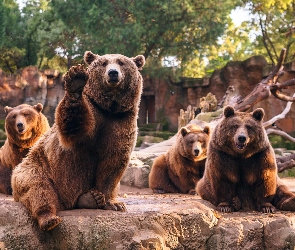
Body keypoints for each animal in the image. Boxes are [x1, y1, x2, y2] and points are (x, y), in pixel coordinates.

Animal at [11, 51, 146, 231]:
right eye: (103, 63)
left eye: (121, 62)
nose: (113, 73)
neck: (109, 109)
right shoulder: (92, 114)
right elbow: (73, 127)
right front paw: (76, 81)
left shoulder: (121, 121)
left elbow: (113, 164)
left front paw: (114, 203)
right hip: (35, 169)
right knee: (38, 190)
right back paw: (50, 218)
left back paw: (91, 198)